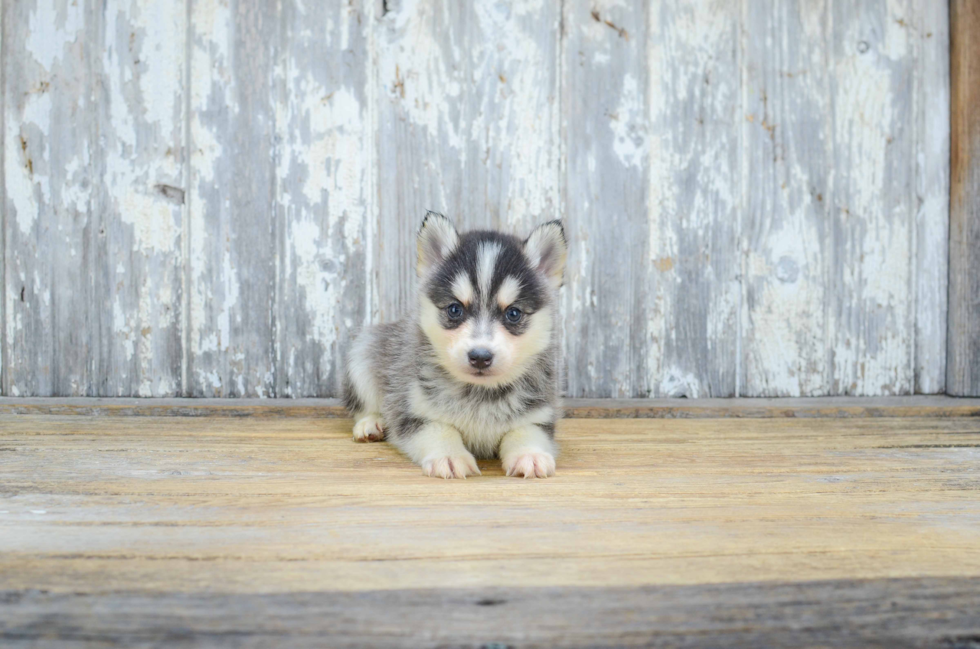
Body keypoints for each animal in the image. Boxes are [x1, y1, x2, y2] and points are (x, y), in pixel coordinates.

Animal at [342, 211, 568, 476]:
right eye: (454, 309)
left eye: (513, 313)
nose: (480, 356)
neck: (480, 393)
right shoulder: (412, 411)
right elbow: (439, 430)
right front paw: (449, 456)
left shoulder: (538, 414)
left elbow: (525, 432)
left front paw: (529, 454)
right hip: (362, 355)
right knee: (364, 404)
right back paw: (371, 423)